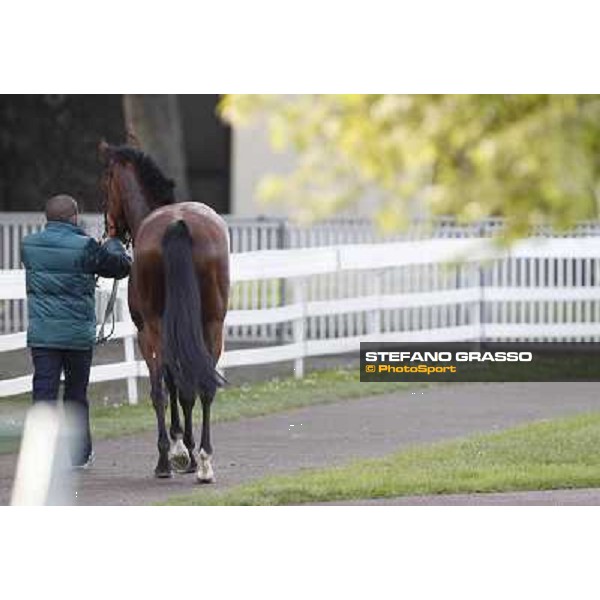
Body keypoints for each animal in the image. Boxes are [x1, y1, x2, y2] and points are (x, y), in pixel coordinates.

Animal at [98, 142, 230, 482]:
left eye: (106, 180)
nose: (110, 230)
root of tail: (178, 223)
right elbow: (184, 388)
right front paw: (188, 453)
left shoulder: (150, 330)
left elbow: (168, 386)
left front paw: (179, 451)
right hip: (212, 324)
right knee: (204, 386)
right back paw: (205, 463)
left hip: (153, 331)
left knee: (160, 388)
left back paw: (166, 461)